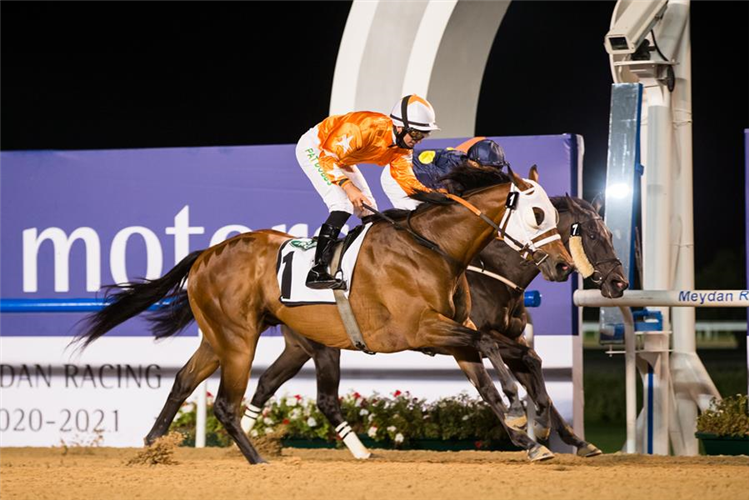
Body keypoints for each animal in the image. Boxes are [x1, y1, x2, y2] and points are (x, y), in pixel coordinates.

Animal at [76, 166, 572, 462]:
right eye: (537, 213)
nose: (564, 267)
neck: (434, 250)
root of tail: (206, 254)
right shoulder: (422, 332)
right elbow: (493, 353)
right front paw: (521, 410)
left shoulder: (455, 331)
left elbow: (516, 362)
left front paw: (539, 429)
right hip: (238, 338)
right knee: (225, 403)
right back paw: (256, 459)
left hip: (225, 337)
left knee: (184, 381)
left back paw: (152, 445)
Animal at [241, 194, 624, 458]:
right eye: (592, 234)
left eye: (609, 232)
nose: (618, 283)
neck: (493, 274)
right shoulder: (461, 337)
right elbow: (499, 381)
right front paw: (531, 433)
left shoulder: (504, 338)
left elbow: (533, 370)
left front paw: (568, 438)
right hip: (322, 346)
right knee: (320, 398)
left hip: (300, 345)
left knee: (268, 383)